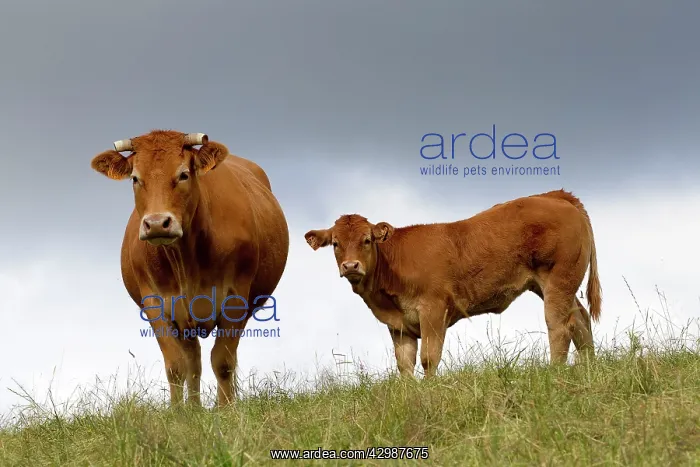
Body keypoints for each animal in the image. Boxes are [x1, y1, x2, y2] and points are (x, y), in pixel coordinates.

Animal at [91, 129, 289, 407]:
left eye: (183, 174)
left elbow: (223, 361)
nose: (157, 223)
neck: (186, 261)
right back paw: (194, 407)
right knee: (193, 360)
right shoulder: (155, 303)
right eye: (135, 178)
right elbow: (176, 365)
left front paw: (225, 409)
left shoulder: (235, 297)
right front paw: (178, 412)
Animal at [304, 189, 601, 378]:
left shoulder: (434, 309)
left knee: (560, 326)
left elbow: (429, 358)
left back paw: (555, 372)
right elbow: (404, 364)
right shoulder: (399, 325)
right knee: (581, 319)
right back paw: (590, 368)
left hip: (558, 279)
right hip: (551, 284)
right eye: (336, 244)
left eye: (367, 240)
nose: (350, 266)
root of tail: (556, 195)